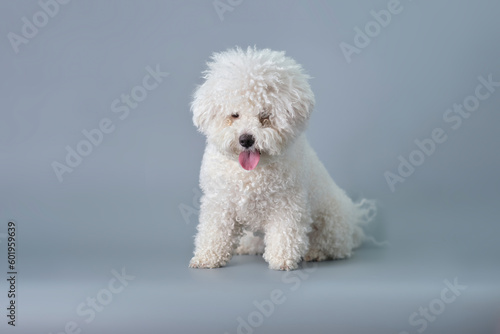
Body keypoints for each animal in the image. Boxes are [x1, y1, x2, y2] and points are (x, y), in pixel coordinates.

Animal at [188, 47, 376, 272]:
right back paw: (248, 245)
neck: (252, 173)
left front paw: (282, 259)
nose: (246, 139)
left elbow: (285, 233)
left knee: (334, 246)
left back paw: (317, 253)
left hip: (330, 221)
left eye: (265, 116)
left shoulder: (288, 204)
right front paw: (207, 257)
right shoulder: (220, 202)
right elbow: (214, 231)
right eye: (234, 115)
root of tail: (354, 221)